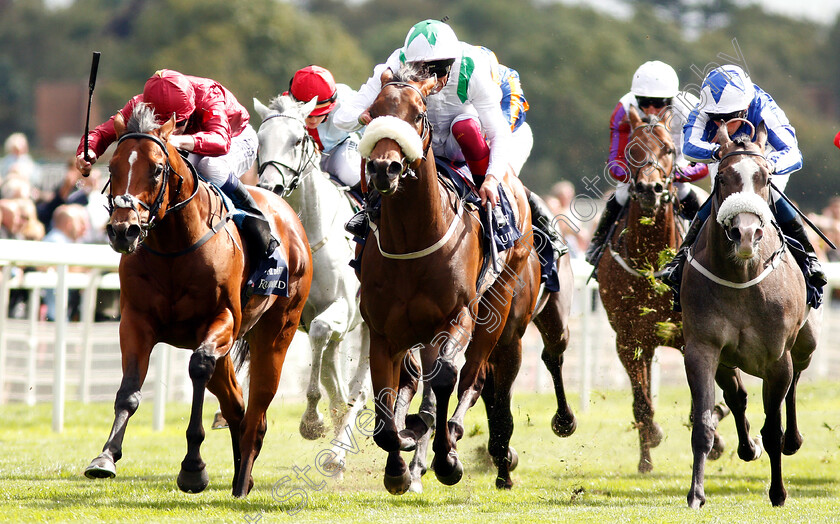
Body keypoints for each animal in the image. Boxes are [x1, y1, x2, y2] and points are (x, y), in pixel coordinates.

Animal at [83, 103, 314, 500]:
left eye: (156, 169)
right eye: (112, 168)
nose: (123, 230)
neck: (174, 247)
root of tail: (290, 216)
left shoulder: (221, 319)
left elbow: (198, 368)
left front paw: (193, 468)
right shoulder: (136, 321)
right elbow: (129, 390)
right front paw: (106, 456)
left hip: (277, 330)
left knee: (256, 410)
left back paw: (242, 481)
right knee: (237, 406)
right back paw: (240, 476)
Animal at [249, 95, 368, 474]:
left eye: (297, 139)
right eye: (260, 139)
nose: (270, 187)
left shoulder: (342, 310)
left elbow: (319, 331)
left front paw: (311, 422)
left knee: (359, 388)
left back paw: (338, 451)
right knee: (338, 381)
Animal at [358, 63, 576, 494]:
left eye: (418, 114)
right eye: (373, 113)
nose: (383, 168)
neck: (413, 241)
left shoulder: (458, 316)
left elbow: (446, 378)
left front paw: (446, 459)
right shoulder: (383, 332)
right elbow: (386, 407)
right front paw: (398, 463)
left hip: (504, 318)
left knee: (487, 379)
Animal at [596, 108, 728, 472]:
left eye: (669, 149)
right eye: (633, 149)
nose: (649, 189)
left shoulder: (687, 337)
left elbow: (702, 399)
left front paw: (714, 437)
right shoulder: (628, 339)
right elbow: (641, 402)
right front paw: (651, 439)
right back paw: (646, 459)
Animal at [684, 119, 820, 508]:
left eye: (765, 176)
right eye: (723, 176)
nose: (745, 233)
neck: (741, 278)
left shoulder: (776, 357)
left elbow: (773, 427)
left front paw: (778, 492)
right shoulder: (701, 348)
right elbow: (703, 423)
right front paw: (696, 493)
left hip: (804, 343)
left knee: (795, 381)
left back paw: (793, 440)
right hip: (728, 360)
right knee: (737, 396)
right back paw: (747, 447)